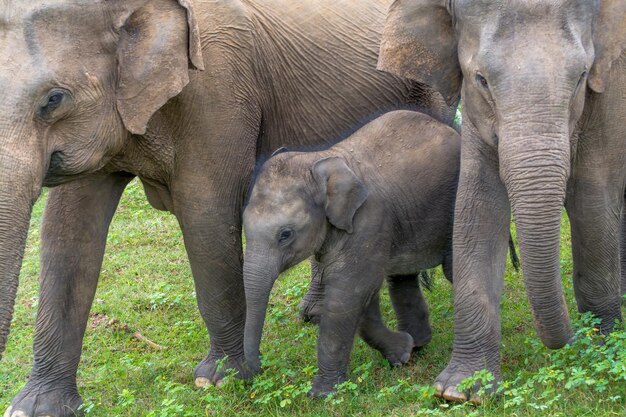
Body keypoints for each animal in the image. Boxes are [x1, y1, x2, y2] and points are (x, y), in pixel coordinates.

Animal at [243, 110, 458, 396]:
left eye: (285, 234)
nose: (260, 369)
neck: (319, 160)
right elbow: (361, 297)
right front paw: (402, 353)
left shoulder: (369, 221)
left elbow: (345, 295)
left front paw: (322, 394)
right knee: (401, 278)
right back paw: (419, 344)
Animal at [376, 0, 624, 402]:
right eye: (481, 79)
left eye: (581, 77)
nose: (574, 336)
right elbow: (477, 206)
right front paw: (461, 390)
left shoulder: (612, 88)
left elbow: (593, 198)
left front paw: (602, 348)